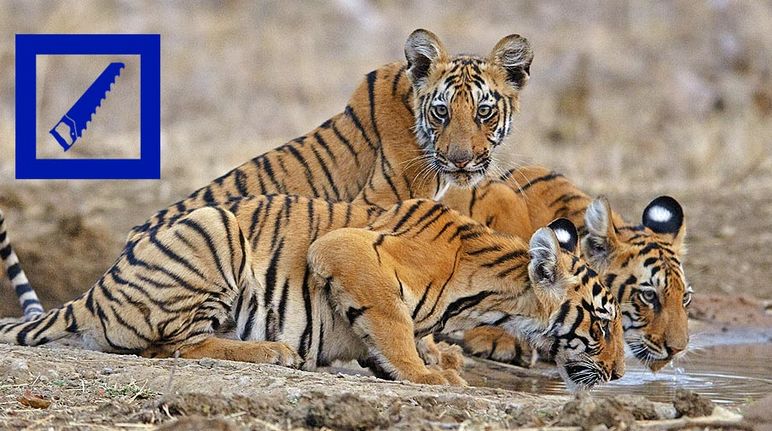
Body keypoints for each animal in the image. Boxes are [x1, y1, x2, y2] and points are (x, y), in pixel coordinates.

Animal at [0, 197, 624, 390]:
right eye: (600, 323)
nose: (620, 372)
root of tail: (95, 288)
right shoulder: (344, 248)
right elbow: (394, 324)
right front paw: (428, 375)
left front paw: (436, 360)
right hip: (214, 226)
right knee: (173, 345)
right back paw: (273, 351)